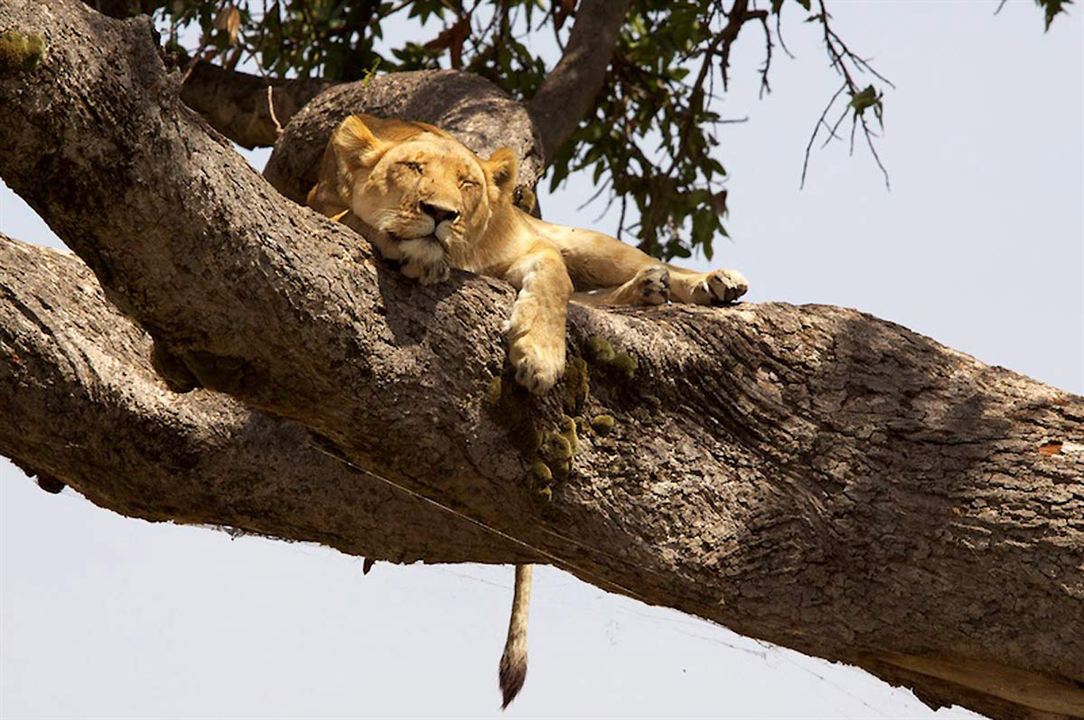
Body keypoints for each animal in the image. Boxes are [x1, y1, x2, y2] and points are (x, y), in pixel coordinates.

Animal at [303, 113, 745, 706]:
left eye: (467, 183)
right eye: (412, 168)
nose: (442, 215)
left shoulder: (530, 249)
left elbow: (556, 281)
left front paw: (539, 353)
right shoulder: (317, 207)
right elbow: (358, 222)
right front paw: (414, 253)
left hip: (582, 241)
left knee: (632, 267)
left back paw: (705, 283)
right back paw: (649, 292)